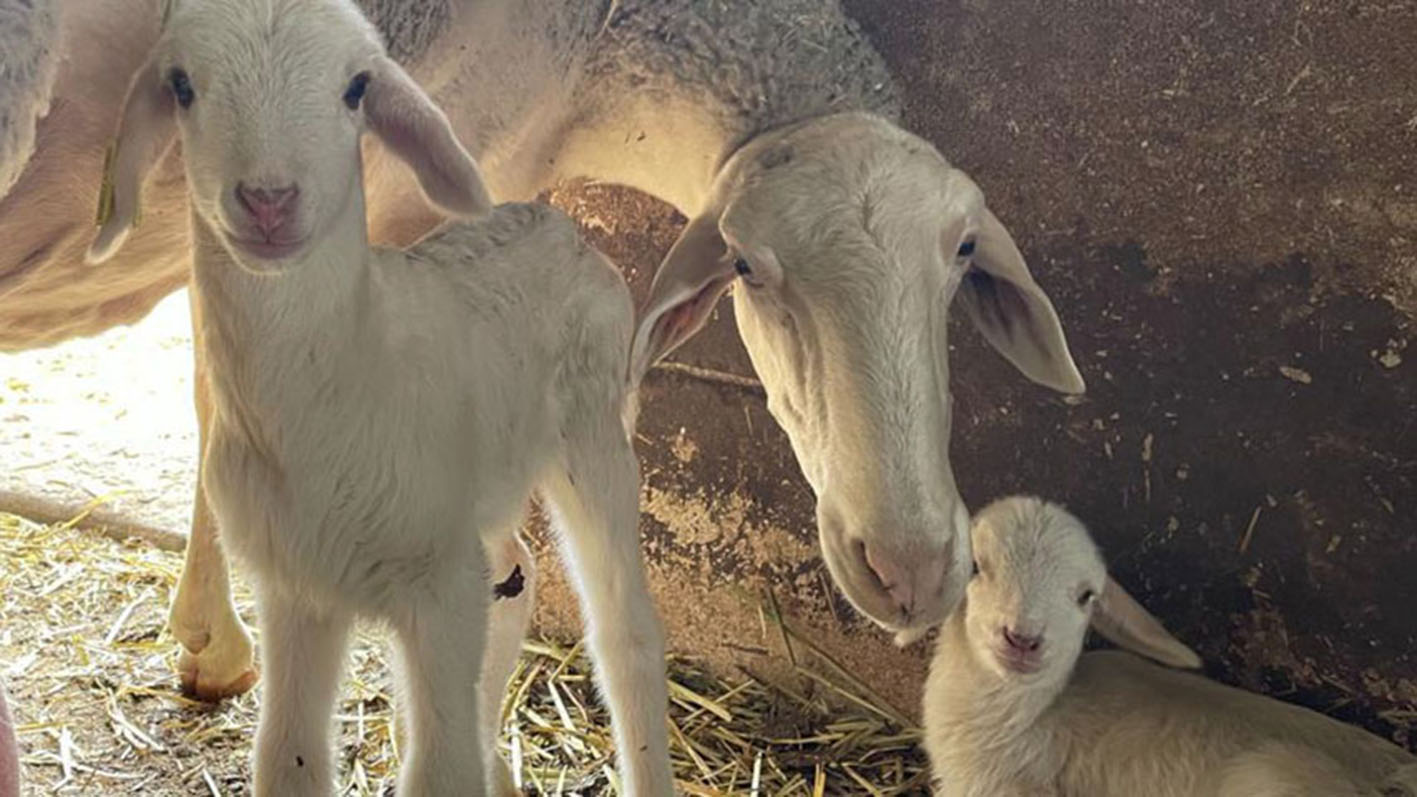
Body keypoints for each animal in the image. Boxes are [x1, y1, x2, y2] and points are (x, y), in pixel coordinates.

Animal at [2, 0, 1082, 694]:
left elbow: (211, 381)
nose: (910, 566)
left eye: (963, 255)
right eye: (744, 264)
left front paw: (208, 642)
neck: (594, 57)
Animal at [85, 1, 671, 794]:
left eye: (357, 88)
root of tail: (551, 220)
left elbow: (439, 770)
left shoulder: (437, 588)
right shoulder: (298, 587)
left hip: (595, 432)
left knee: (623, 633)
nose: (268, 201)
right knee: (513, 574)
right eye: (181, 86)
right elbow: (287, 759)